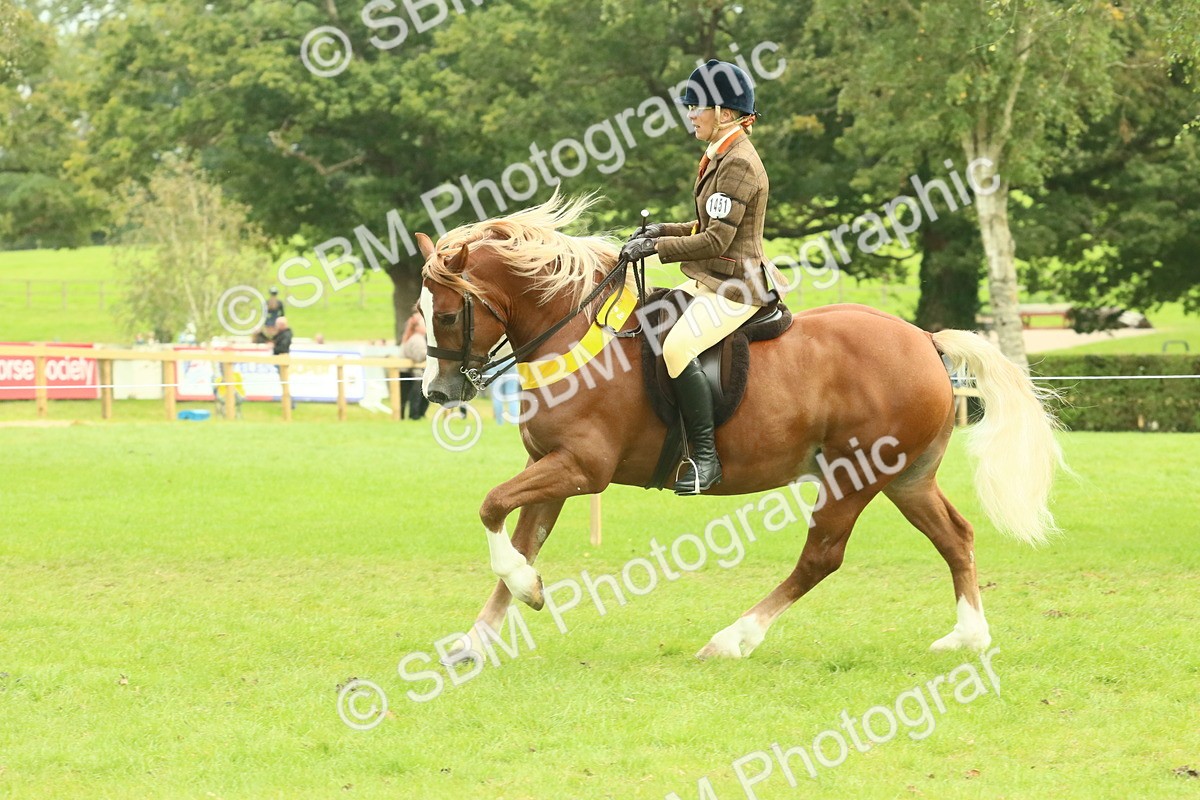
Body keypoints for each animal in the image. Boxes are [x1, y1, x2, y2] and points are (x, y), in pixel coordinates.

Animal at [416, 193, 1063, 661]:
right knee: (955, 537)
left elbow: (491, 507)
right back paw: (969, 638)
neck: (574, 331)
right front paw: (481, 636)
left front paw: (526, 591)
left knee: (821, 557)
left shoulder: (581, 468)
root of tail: (925, 340)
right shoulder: (549, 466)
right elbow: (520, 539)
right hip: (905, 477)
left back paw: (732, 640)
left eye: (445, 315)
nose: (438, 393)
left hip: (851, 476)